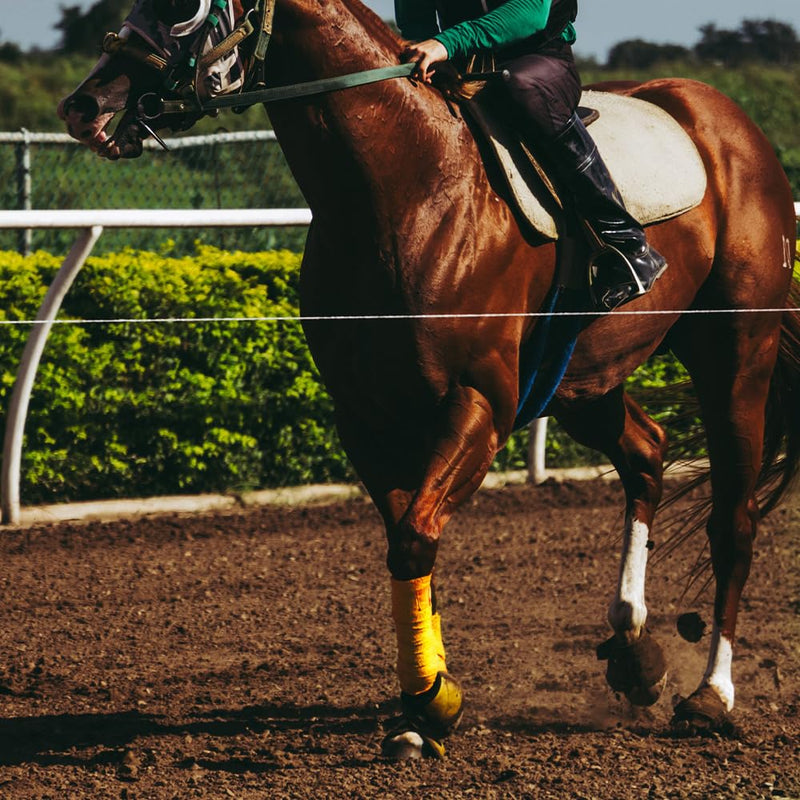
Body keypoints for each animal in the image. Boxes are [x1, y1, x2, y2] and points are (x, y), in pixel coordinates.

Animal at [58, 0, 800, 759]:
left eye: (184, 9)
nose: (85, 106)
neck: (404, 189)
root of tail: (725, 119)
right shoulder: (365, 413)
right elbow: (407, 543)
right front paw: (429, 697)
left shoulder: (480, 402)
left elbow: (416, 534)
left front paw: (430, 701)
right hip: (583, 378)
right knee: (647, 454)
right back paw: (632, 649)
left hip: (737, 350)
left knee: (733, 520)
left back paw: (711, 696)